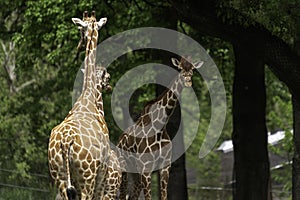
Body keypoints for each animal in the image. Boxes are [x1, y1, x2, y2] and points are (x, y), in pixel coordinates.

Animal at [48, 11, 119, 200]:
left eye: (80, 29)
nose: (79, 46)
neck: (88, 97)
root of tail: (66, 142)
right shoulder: (102, 172)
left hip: (59, 177)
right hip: (87, 177)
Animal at [117, 56, 204, 200]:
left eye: (192, 69)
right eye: (180, 69)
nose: (188, 82)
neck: (160, 127)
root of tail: (119, 140)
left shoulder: (165, 166)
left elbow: (163, 196)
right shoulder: (146, 168)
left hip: (135, 173)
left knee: (132, 196)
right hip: (124, 168)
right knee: (122, 195)